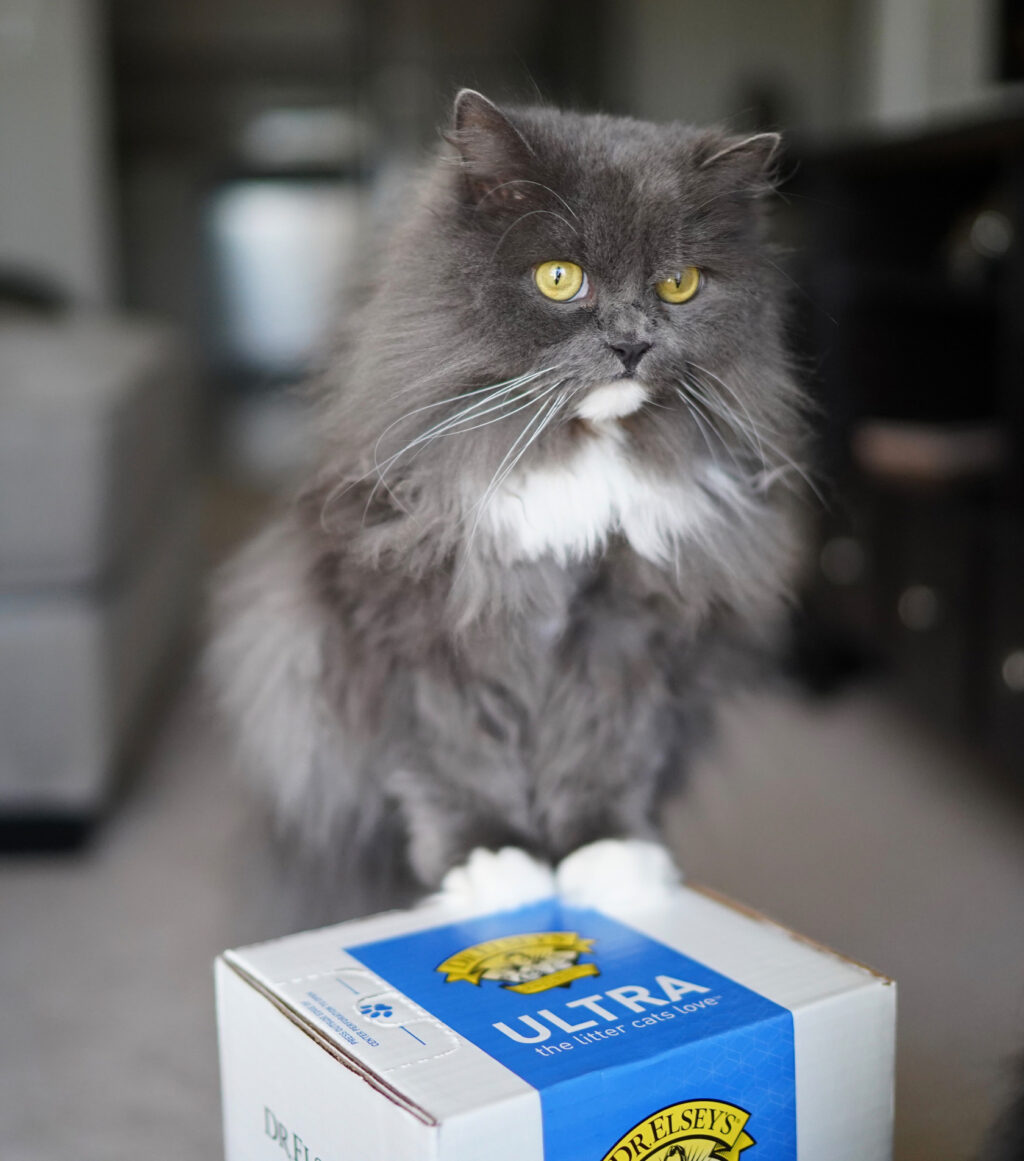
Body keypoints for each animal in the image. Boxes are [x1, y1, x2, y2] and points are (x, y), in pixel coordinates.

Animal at [208, 88, 808, 905]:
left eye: (679, 285)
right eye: (560, 278)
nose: (632, 343)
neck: (578, 456)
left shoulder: (632, 629)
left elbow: (608, 750)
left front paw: (606, 853)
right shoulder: (423, 625)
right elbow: (458, 757)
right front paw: (491, 859)